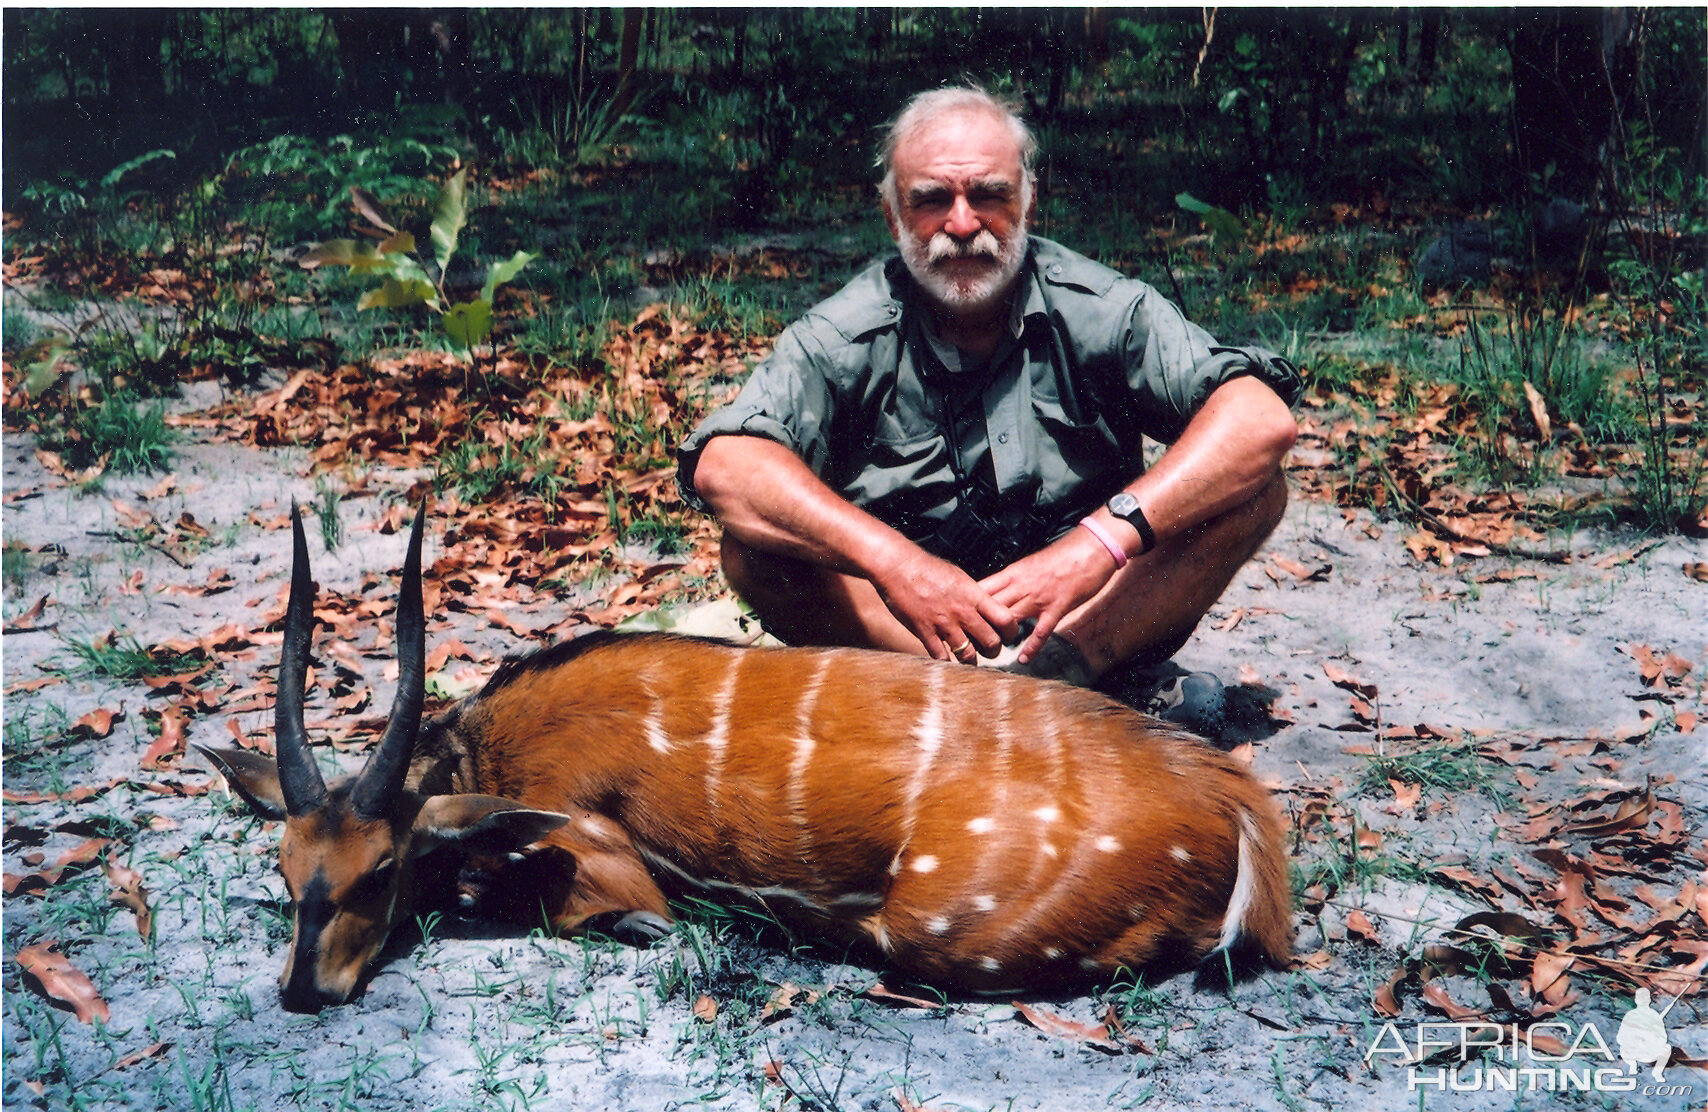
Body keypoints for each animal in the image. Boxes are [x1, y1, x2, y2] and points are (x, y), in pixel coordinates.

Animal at [199, 509, 1284, 1011]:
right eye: (287, 870)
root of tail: (1233, 799)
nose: (303, 989)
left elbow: (602, 908)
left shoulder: (601, 854)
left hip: (941, 932)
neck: (491, 753)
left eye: (380, 869)